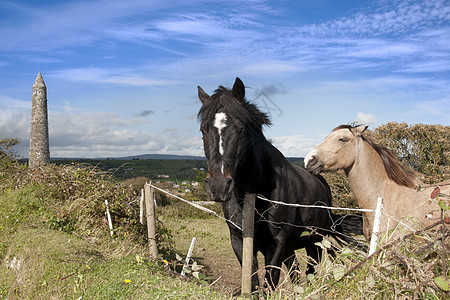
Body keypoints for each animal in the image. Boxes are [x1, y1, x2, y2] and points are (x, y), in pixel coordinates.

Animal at [197, 77, 362, 290]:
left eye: (240, 129)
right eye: (203, 130)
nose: (218, 186)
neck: (254, 193)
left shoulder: (276, 244)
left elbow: (270, 284)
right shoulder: (240, 240)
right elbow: (253, 283)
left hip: (315, 241)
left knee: (309, 271)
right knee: (295, 272)